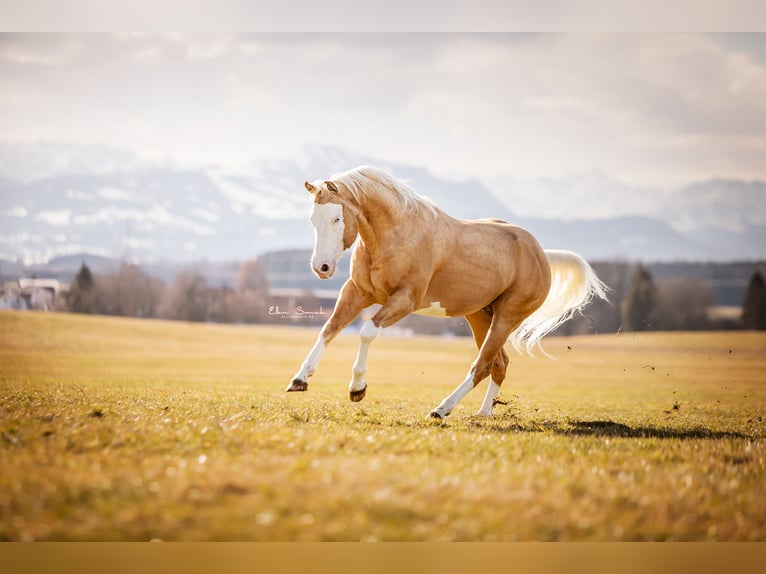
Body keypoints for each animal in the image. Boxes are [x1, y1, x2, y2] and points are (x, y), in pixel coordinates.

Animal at [286, 165, 608, 418]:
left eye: (337, 218)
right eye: (313, 219)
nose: (322, 268)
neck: (397, 233)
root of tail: (541, 253)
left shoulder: (405, 300)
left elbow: (366, 331)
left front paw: (357, 389)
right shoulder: (358, 292)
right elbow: (330, 328)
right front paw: (300, 379)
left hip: (507, 317)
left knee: (482, 365)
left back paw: (441, 409)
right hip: (480, 316)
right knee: (499, 364)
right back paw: (483, 413)